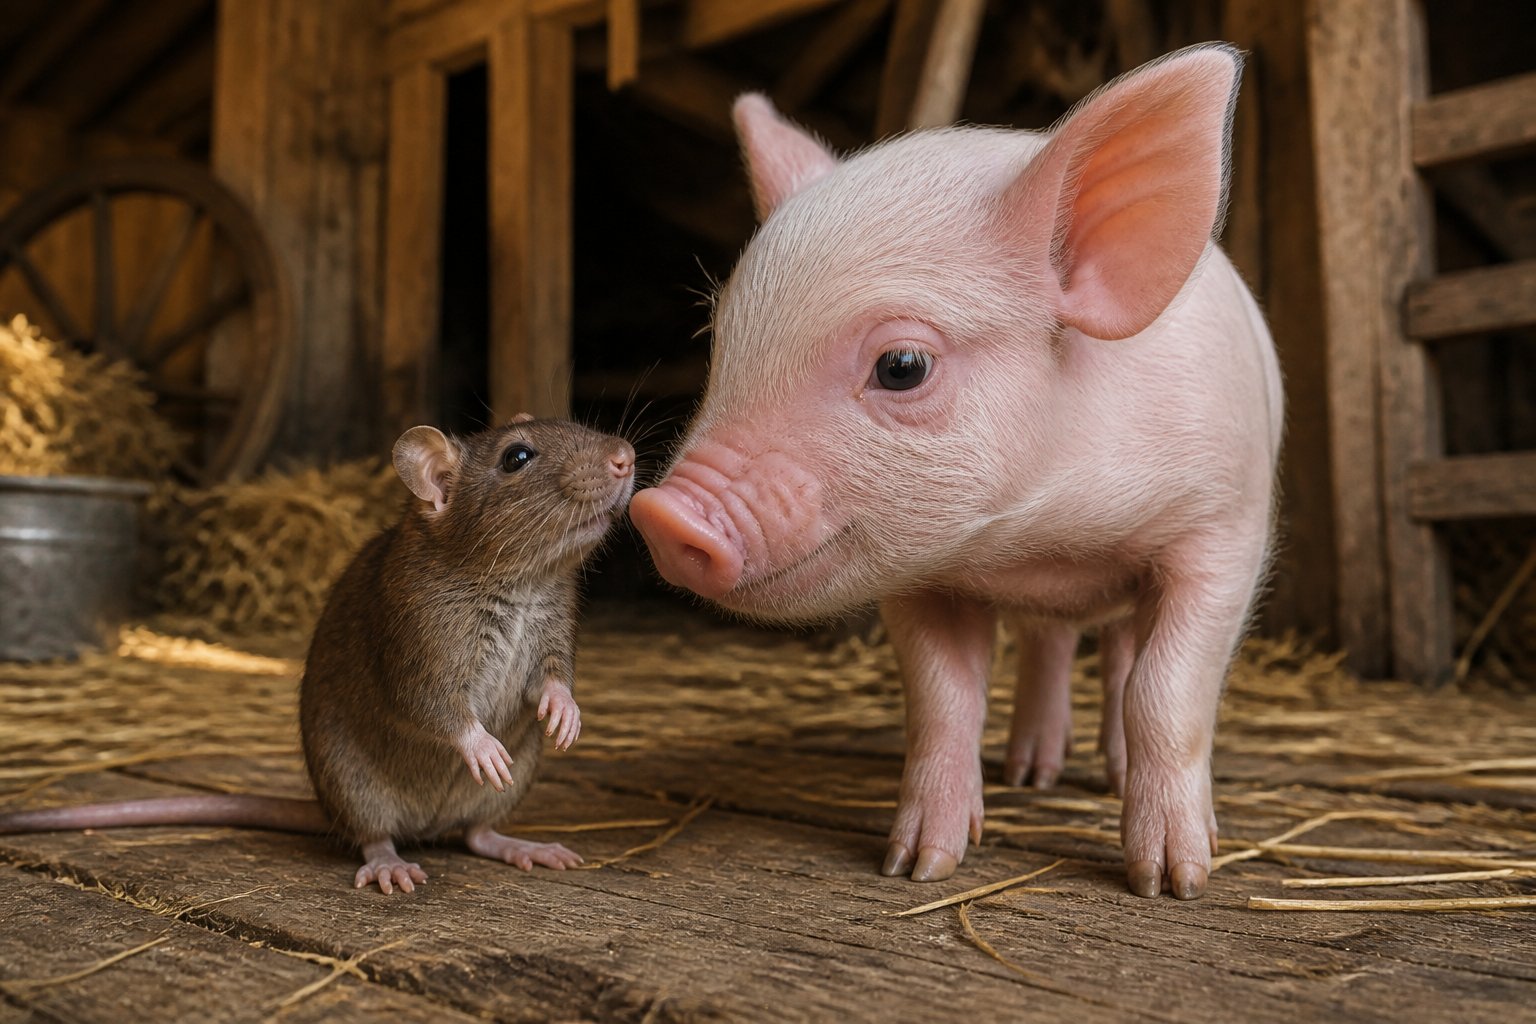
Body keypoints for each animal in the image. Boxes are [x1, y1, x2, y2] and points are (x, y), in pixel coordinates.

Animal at [629, 44, 1282, 900]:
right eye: (716, 337)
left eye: (903, 365)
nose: (660, 514)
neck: (1042, 540)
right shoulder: (916, 574)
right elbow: (944, 697)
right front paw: (917, 866)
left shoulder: (1226, 527)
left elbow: (1165, 688)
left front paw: (1170, 881)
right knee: (1049, 644)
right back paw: (1031, 773)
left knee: (1120, 658)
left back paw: (1105, 777)